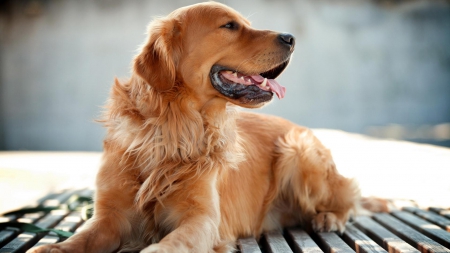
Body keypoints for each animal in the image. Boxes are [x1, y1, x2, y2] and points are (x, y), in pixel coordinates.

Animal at [29, 2, 360, 253]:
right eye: (229, 26)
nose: (291, 38)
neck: (172, 127)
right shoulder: (111, 215)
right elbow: (82, 238)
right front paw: (51, 247)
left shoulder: (201, 218)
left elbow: (175, 242)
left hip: (299, 155)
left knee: (348, 196)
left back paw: (329, 218)